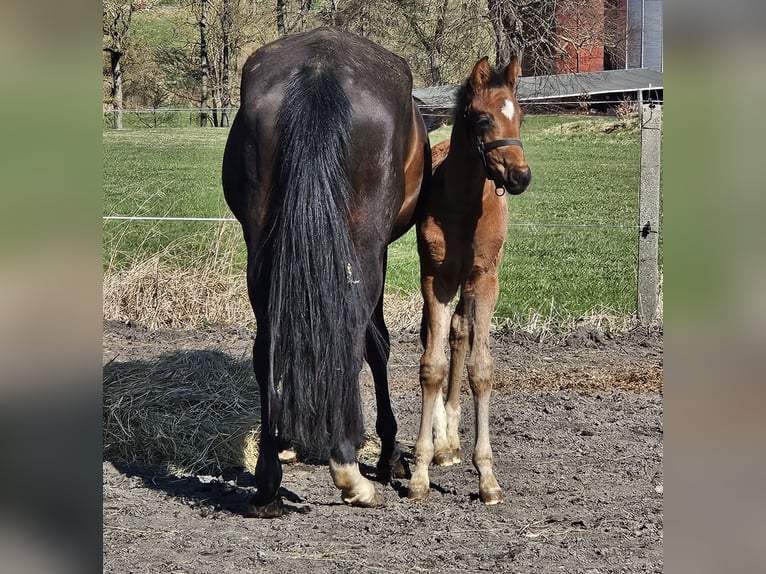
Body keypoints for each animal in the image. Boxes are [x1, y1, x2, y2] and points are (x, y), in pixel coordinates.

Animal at [222, 27, 432, 520]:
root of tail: (320, 70)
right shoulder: (378, 251)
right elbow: (379, 344)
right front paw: (388, 454)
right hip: (363, 248)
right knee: (352, 339)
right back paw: (351, 474)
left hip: (262, 249)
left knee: (267, 346)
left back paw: (267, 484)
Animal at [412, 56, 532, 506]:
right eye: (483, 120)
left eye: (521, 116)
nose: (520, 177)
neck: (464, 207)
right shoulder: (438, 279)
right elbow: (432, 366)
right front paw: (420, 473)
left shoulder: (484, 280)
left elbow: (481, 368)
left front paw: (488, 478)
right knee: (440, 338)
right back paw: (442, 442)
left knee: (461, 333)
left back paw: (451, 439)